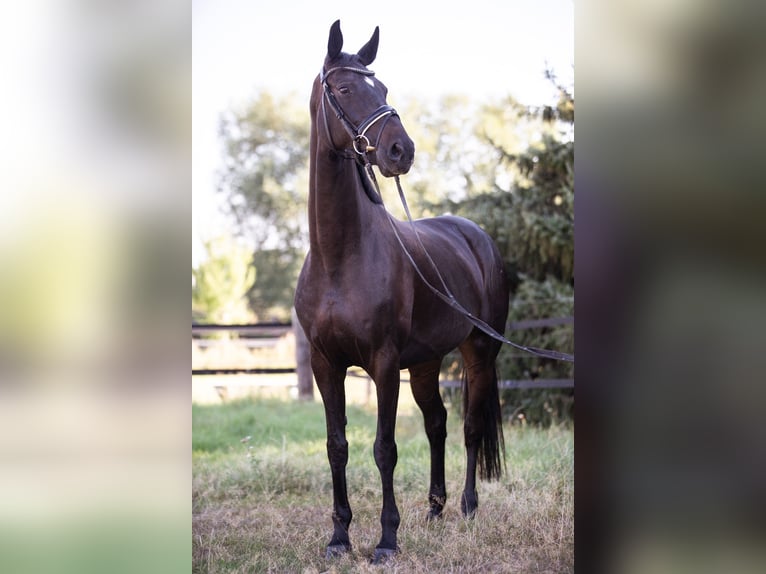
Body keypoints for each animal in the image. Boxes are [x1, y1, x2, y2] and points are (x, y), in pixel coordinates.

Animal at [296, 20, 512, 564]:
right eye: (344, 89)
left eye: (385, 89)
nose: (401, 150)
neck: (340, 256)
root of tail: (476, 238)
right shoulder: (326, 363)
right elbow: (337, 446)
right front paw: (339, 537)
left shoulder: (384, 361)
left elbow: (384, 449)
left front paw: (387, 540)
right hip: (427, 362)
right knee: (437, 423)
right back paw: (435, 510)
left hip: (479, 351)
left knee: (469, 427)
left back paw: (467, 507)